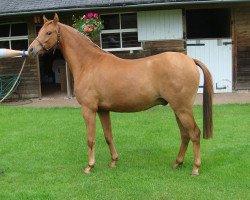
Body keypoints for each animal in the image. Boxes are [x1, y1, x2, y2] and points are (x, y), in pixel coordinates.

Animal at [28, 14, 213, 176]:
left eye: (49, 32)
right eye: (39, 31)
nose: (31, 50)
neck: (89, 63)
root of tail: (190, 60)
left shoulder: (88, 109)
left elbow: (90, 138)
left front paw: (89, 166)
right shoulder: (103, 110)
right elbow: (108, 136)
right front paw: (113, 162)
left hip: (182, 109)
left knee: (194, 133)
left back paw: (195, 168)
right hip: (177, 109)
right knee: (185, 134)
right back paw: (177, 163)